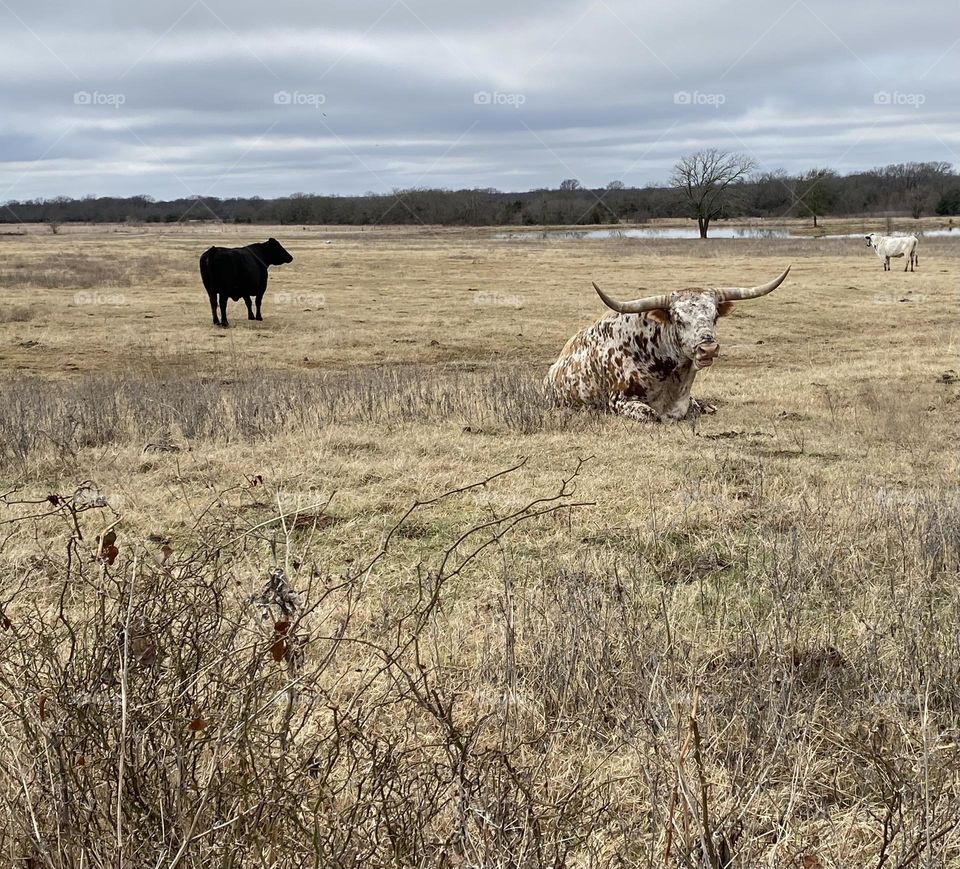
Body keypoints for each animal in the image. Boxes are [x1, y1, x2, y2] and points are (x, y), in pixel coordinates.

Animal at [544, 266, 791, 422]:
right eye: (678, 319)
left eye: (714, 317)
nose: (708, 349)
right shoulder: (619, 401)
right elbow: (651, 415)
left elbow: (703, 407)